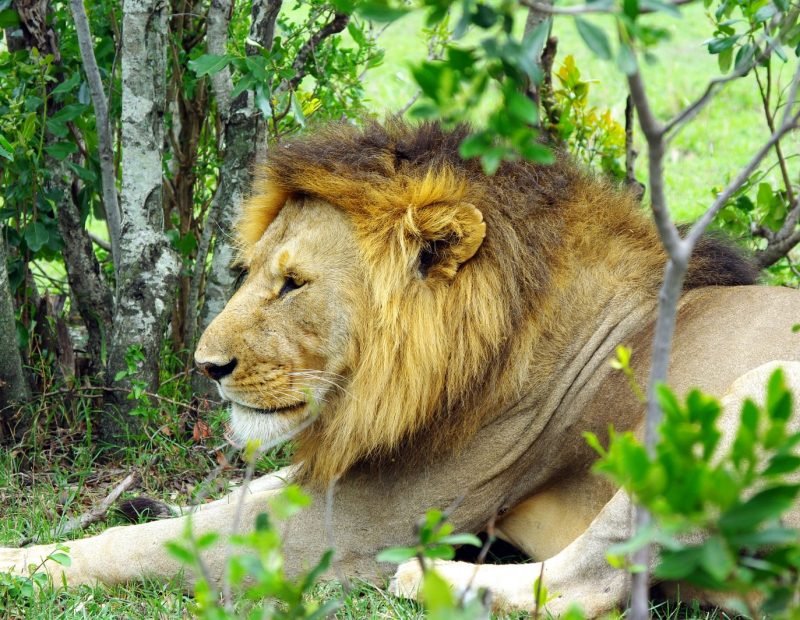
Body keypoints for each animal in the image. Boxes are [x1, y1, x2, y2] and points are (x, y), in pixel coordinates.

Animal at [2, 120, 799, 617]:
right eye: (250, 272)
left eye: (294, 284)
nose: (206, 367)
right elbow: (207, 505)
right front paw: (144, 502)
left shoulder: (354, 527)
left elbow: (141, 544)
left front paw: (21, 560)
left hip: (753, 398)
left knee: (586, 586)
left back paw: (433, 578)